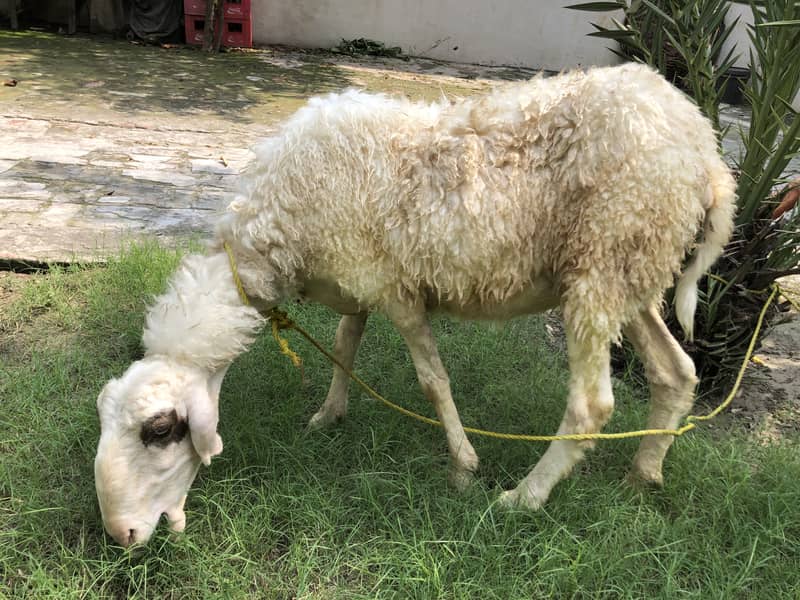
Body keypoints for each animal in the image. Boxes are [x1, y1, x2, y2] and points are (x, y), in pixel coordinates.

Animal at [94, 63, 736, 546]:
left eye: (160, 431)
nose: (122, 535)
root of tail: (706, 150)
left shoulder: (396, 290)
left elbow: (432, 381)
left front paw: (463, 467)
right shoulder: (359, 279)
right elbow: (345, 344)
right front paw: (329, 415)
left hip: (605, 257)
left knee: (592, 406)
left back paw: (525, 497)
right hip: (633, 269)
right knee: (676, 372)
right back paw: (644, 474)